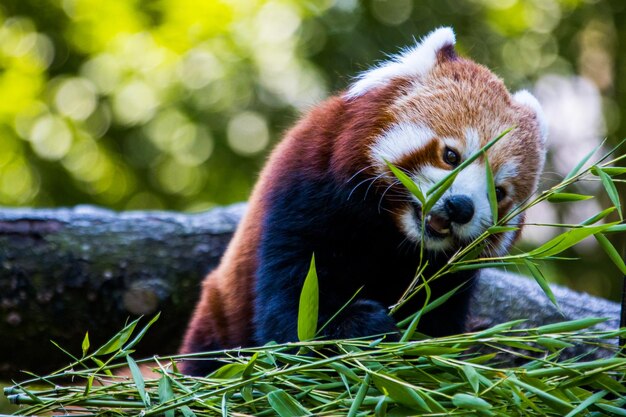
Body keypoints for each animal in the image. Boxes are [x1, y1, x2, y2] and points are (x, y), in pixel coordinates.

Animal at [177, 27, 544, 376]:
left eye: (498, 192)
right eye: (451, 156)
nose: (461, 207)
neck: (395, 234)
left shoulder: (451, 275)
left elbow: (439, 318)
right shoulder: (305, 191)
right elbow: (297, 306)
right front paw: (361, 327)